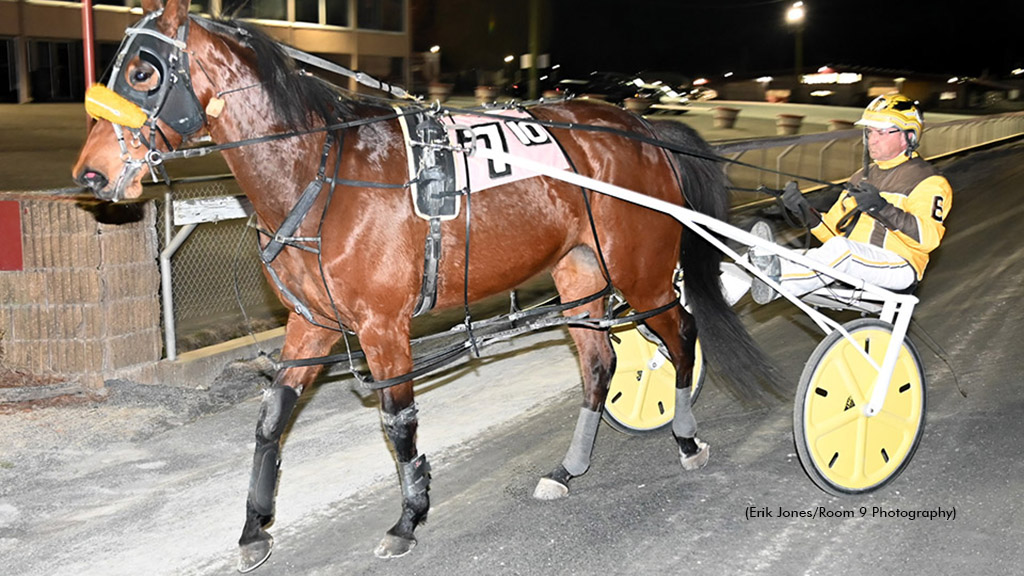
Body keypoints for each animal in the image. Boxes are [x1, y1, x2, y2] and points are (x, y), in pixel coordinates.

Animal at [72, 0, 770, 565]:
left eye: (143, 72)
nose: (90, 176)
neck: (324, 174)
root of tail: (642, 127)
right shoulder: (313, 323)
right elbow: (271, 419)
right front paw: (253, 528)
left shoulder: (383, 328)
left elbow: (397, 423)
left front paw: (407, 520)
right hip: (581, 273)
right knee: (599, 364)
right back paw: (568, 470)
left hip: (641, 271)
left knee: (680, 335)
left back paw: (687, 438)